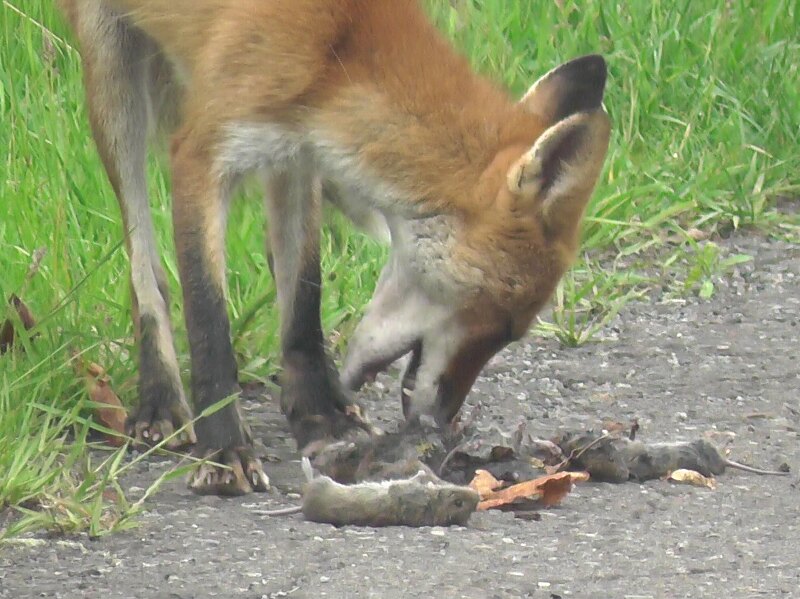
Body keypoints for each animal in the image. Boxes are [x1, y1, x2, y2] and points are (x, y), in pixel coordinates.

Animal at [59, 0, 608, 494]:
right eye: (504, 326)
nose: (444, 420)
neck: (338, 42)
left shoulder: (297, 153)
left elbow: (304, 298)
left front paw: (319, 415)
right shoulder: (202, 153)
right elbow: (208, 319)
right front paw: (224, 450)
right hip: (111, 70)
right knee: (145, 268)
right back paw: (159, 400)